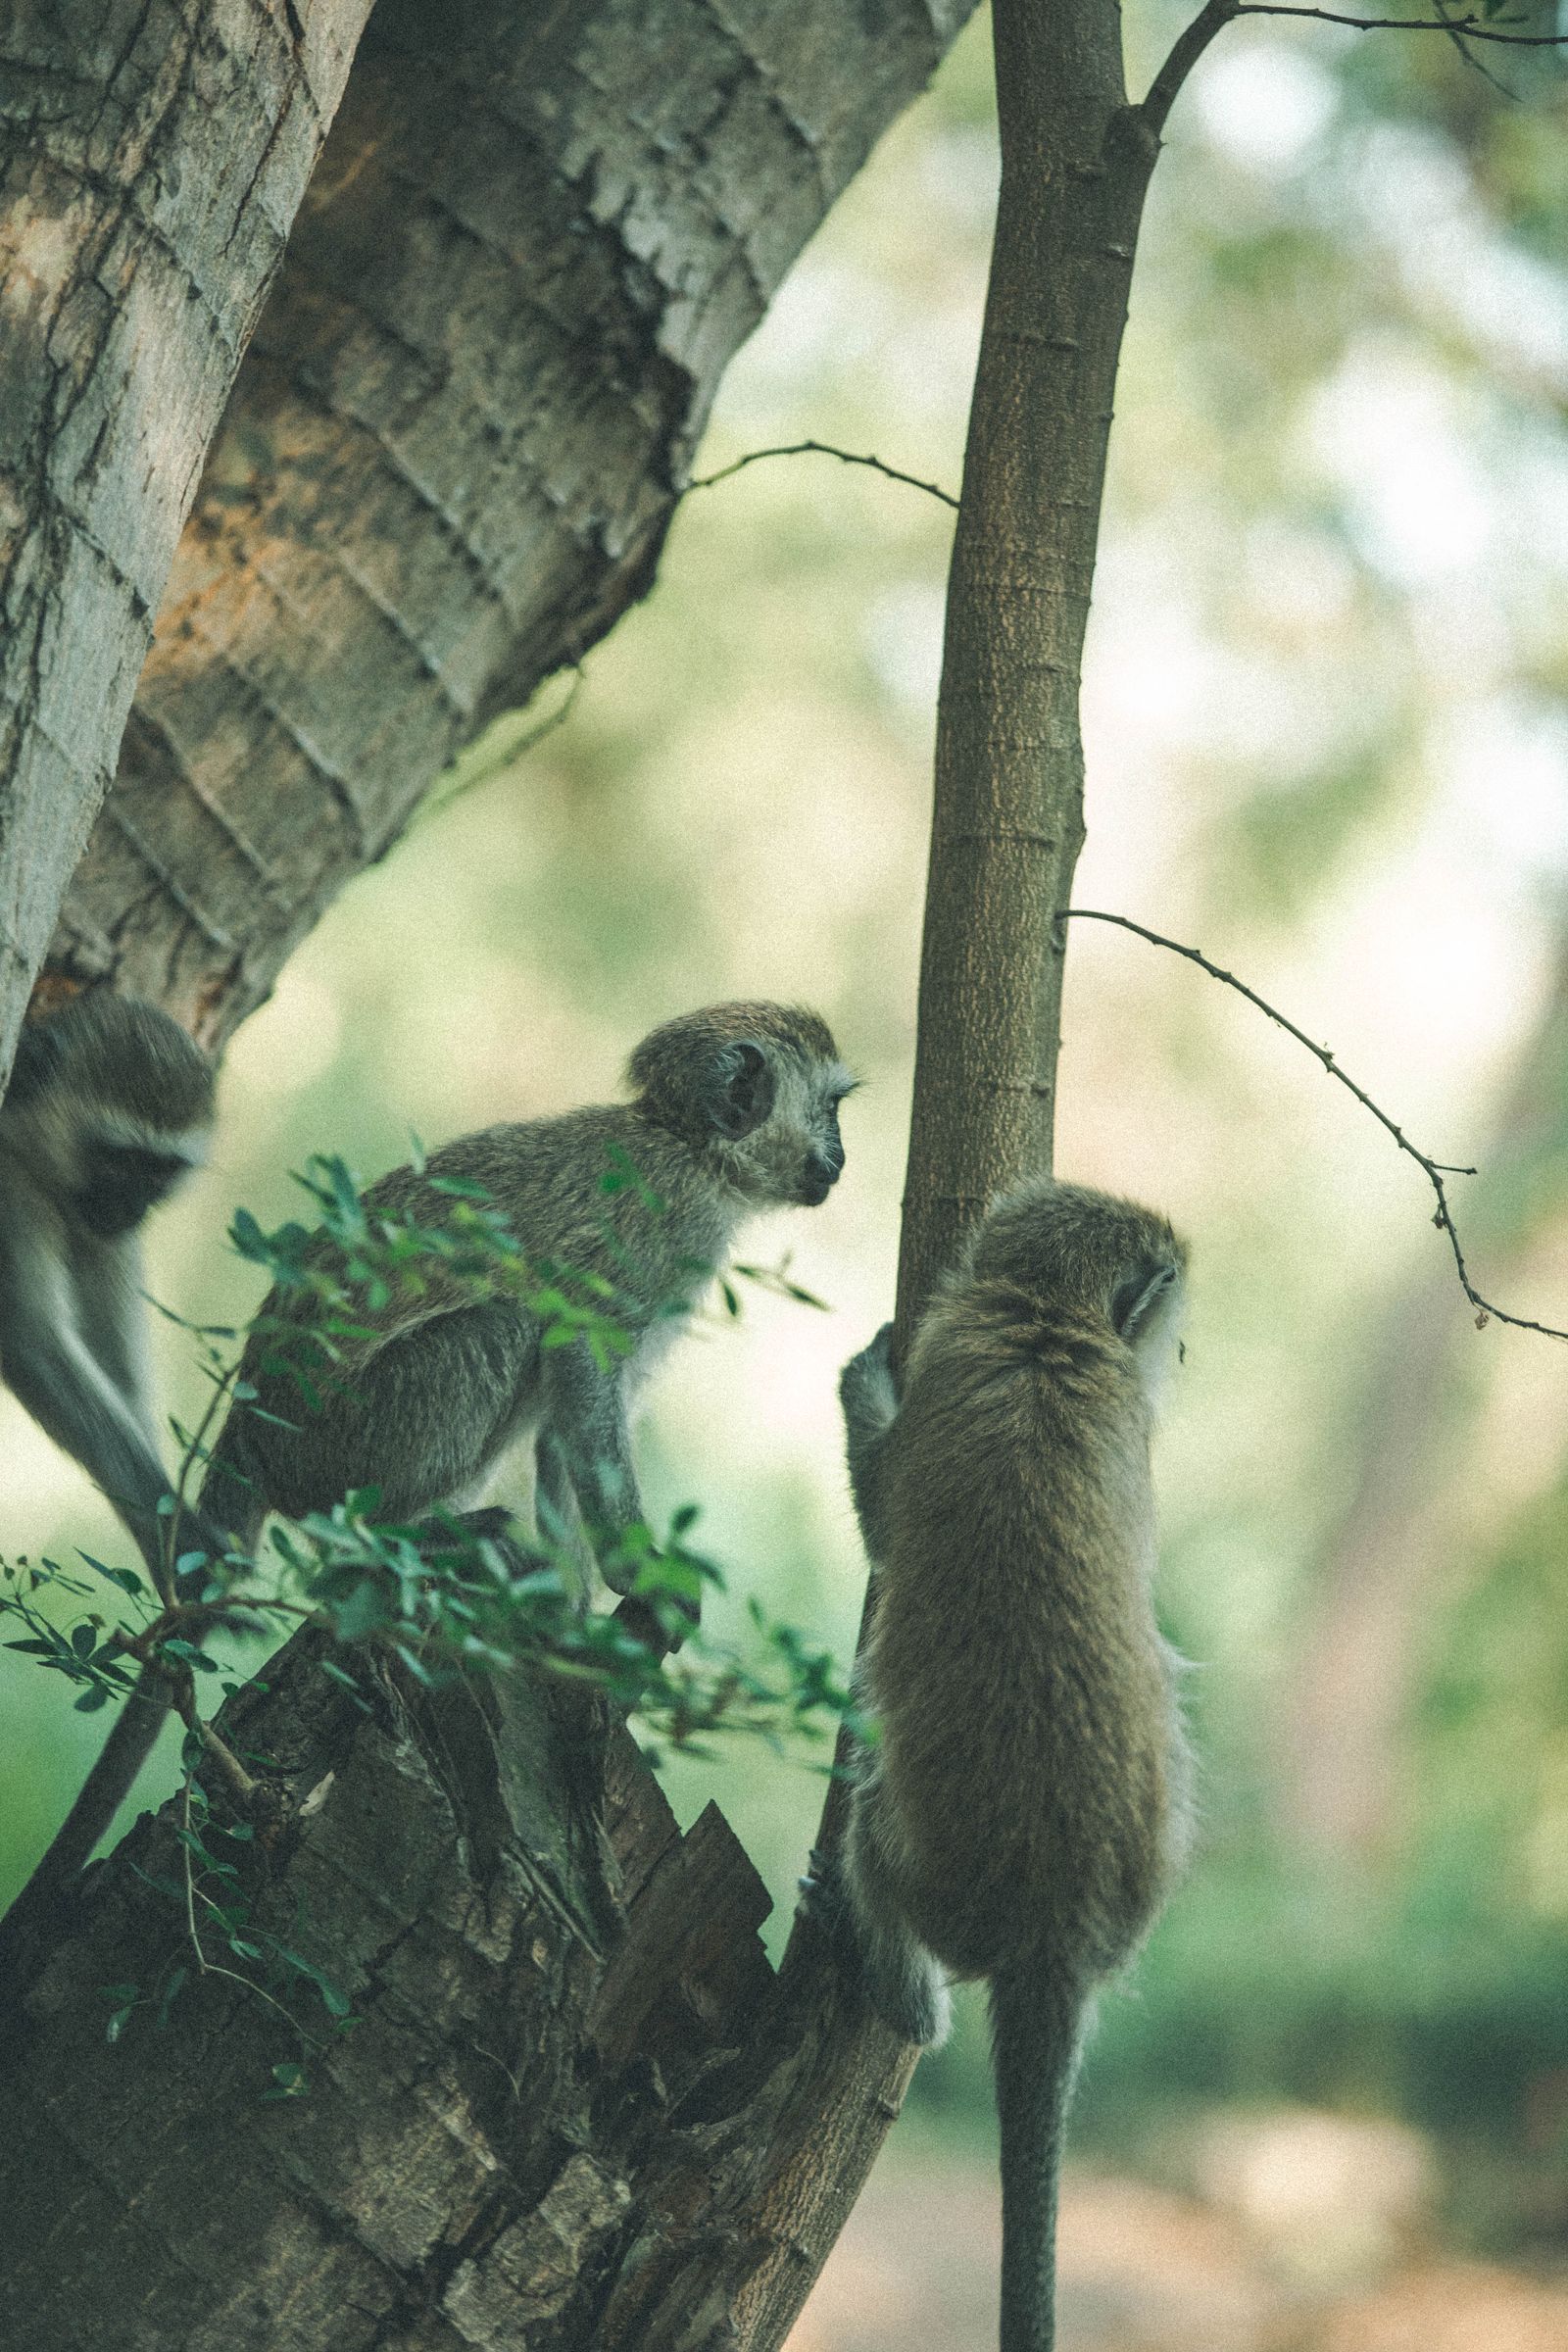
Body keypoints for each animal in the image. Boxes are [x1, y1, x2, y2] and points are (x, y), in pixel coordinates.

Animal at [200, 1003, 855, 1615]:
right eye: (830, 1108)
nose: (843, 1158)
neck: (688, 1146)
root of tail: (247, 1431)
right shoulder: (670, 1227)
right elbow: (581, 1358)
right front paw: (636, 1569)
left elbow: (570, 1416)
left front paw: (572, 1606)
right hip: (333, 1448)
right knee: (498, 1327)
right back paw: (391, 1537)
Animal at [814, 1178, 1192, 2352]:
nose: (1182, 1347)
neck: (1046, 1320)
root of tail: (1052, 1931)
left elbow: (883, 1524)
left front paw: (859, 1385)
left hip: (929, 1869)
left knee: (869, 1825)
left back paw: (900, 1996)